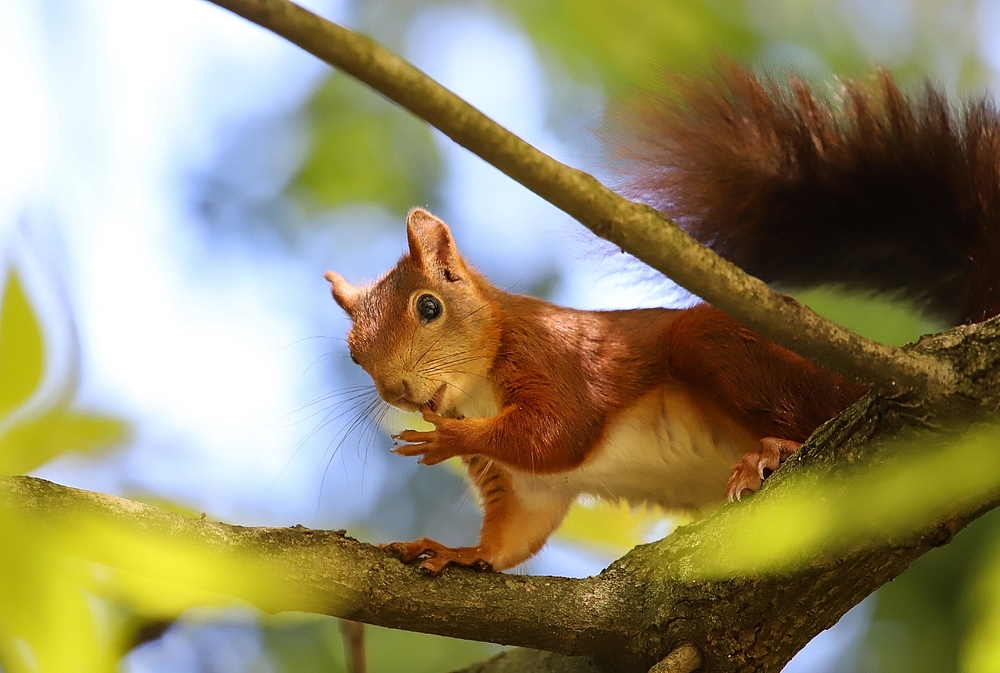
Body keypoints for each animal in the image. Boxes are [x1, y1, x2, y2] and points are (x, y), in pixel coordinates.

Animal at [324, 65, 1000, 576]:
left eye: (429, 307)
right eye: (354, 352)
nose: (397, 389)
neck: (479, 383)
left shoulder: (551, 355)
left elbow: (559, 432)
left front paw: (448, 438)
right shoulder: (519, 487)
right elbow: (517, 530)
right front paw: (459, 551)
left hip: (728, 349)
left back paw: (774, 450)